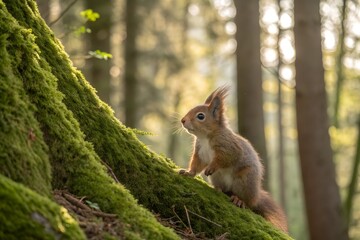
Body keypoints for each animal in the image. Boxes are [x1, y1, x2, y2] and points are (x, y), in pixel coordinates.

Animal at [180, 86, 290, 232]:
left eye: (200, 116)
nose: (182, 120)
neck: (205, 137)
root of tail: (256, 196)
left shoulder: (230, 147)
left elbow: (226, 158)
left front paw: (212, 166)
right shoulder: (200, 152)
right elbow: (196, 165)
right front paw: (188, 173)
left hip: (244, 180)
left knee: (246, 201)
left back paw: (239, 200)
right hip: (217, 177)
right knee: (225, 189)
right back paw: (219, 189)